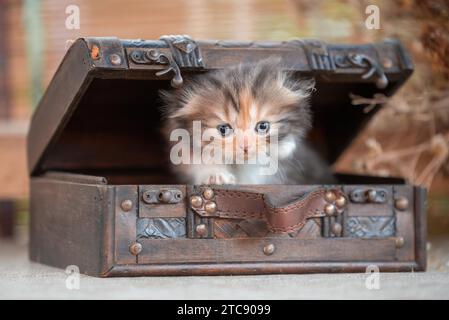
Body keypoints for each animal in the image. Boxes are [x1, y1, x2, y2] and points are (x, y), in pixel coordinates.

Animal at [160, 56, 332, 184]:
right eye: (223, 129)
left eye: (263, 126)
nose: (245, 147)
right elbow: (192, 158)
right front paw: (216, 175)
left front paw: (282, 148)